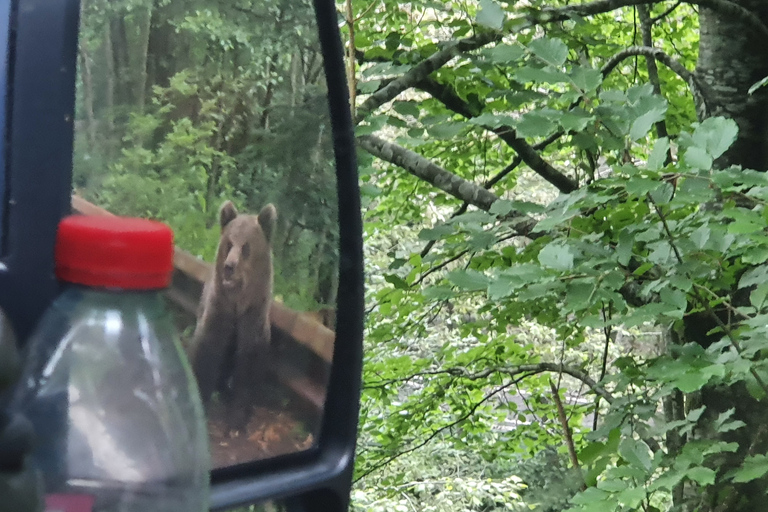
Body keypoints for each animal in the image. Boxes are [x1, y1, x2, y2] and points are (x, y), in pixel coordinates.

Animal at [190, 198, 278, 430]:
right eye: (229, 243)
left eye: (246, 247)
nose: (229, 266)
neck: (238, 303)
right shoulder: (219, 309)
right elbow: (207, 351)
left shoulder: (253, 316)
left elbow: (248, 361)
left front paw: (238, 418)